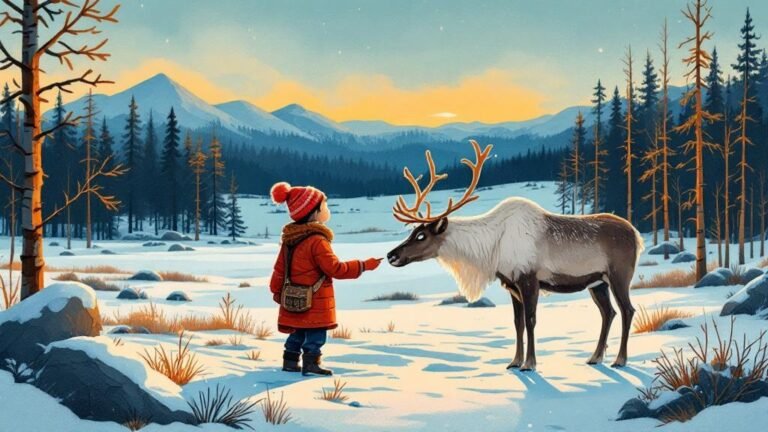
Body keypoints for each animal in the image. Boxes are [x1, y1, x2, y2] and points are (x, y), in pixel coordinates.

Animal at [386, 140, 644, 371]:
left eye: (421, 235)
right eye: (412, 232)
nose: (391, 255)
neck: (491, 251)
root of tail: (636, 235)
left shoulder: (529, 279)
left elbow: (530, 321)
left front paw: (529, 364)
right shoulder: (511, 284)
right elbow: (517, 323)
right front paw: (514, 362)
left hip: (619, 275)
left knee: (627, 310)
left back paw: (620, 360)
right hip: (597, 282)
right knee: (608, 312)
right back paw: (595, 357)